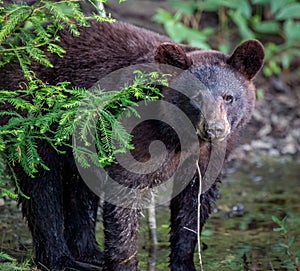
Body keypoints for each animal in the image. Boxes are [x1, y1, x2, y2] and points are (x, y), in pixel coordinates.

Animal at [0, 21, 262, 271]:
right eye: (195, 97)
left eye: (228, 97)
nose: (214, 129)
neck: (181, 138)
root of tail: (18, 41)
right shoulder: (135, 136)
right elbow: (125, 198)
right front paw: (125, 263)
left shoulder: (210, 157)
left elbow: (194, 205)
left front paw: (184, 261)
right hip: (30, 115)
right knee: (41, 188)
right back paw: (62, 259)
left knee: (80, 189)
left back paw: (90, 253)